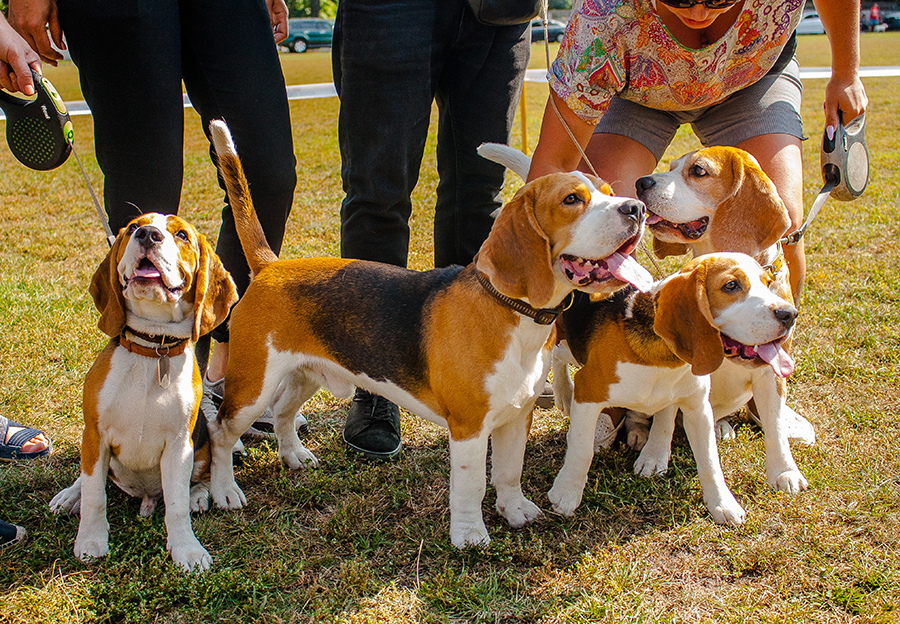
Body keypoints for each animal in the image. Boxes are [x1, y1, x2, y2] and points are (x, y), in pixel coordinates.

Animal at [49, 213, 237, 572]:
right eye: (135, 225)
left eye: (182, 235)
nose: (148, 235)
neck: (153, 349)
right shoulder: (94, 434)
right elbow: (95, 494)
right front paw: (91, 539)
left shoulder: (179, 444)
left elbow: (176, 504)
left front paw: (186, 550)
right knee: (89, 480)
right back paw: (70, 495)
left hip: (199, 443)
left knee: (199, 476)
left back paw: (199, 494)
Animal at [207, 118, 652, 544]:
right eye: (571, 200)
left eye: (609, 191)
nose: (637, 208)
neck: (513, 313)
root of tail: (270, 265)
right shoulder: (469, 427)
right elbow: (472, 486)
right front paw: (469, 535)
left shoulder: (516, 415)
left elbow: (509, 472)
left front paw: (514, 511)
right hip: (252, 387)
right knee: (220, 432)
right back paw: (224, 490)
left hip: (304, 373)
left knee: (283, 411)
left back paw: (294, 455)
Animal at [552, 254, 800, 528]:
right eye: (731, 285)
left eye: (767, 283)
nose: (790, 314)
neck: (665, 358)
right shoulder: (588, 392)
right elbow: (581, 449)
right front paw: (566, 492)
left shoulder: (698, 409)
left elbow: (710, 461)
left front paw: (722, 504)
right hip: (567, 346)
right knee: (556, 354)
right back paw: (564, 393)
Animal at [628, 146, 812, 492]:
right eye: (671, 166)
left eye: (698, 171)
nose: (641, 183)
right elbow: (664, 417)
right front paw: (654, 456)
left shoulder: (771, 370)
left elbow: (776, 427)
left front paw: (785, 471)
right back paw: (637, 433)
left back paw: (721, 427)